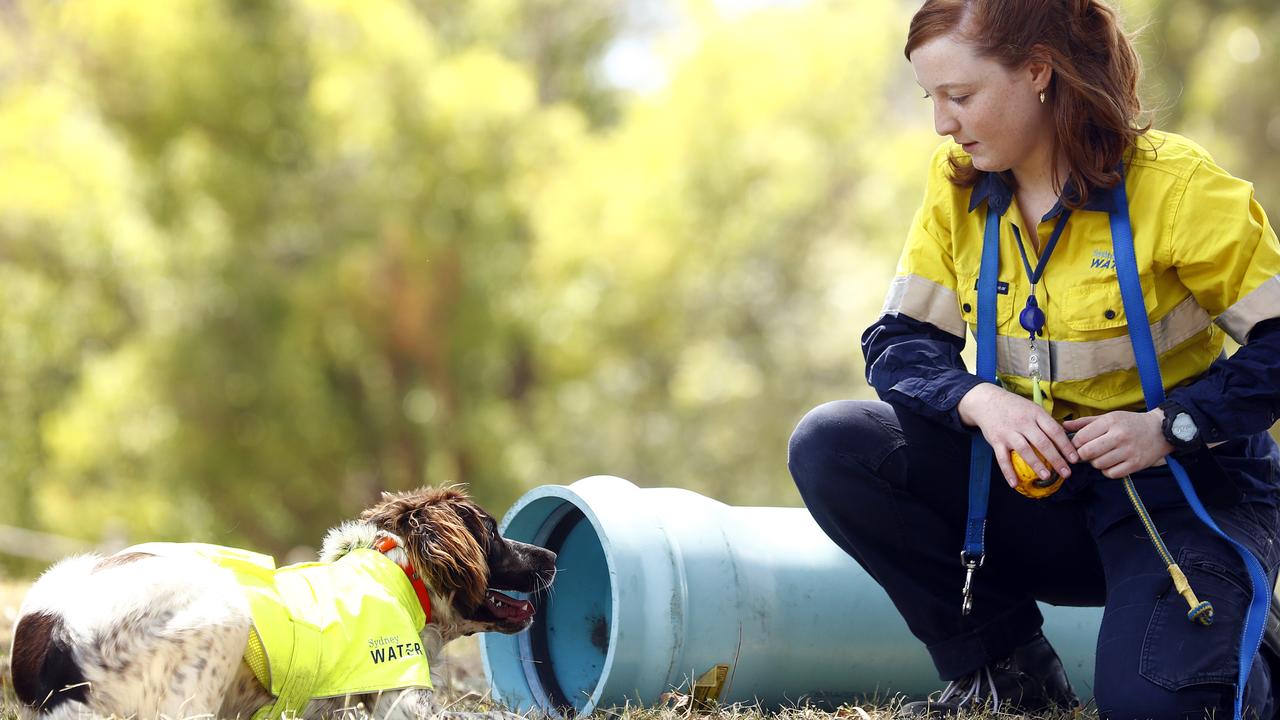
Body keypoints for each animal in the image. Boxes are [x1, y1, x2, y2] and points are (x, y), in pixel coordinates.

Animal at [6, 484, 555, 712]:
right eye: (493, 533)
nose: (551, 555)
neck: (400, 579)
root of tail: (52, 634)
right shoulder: (401, 699)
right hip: (219, 618)